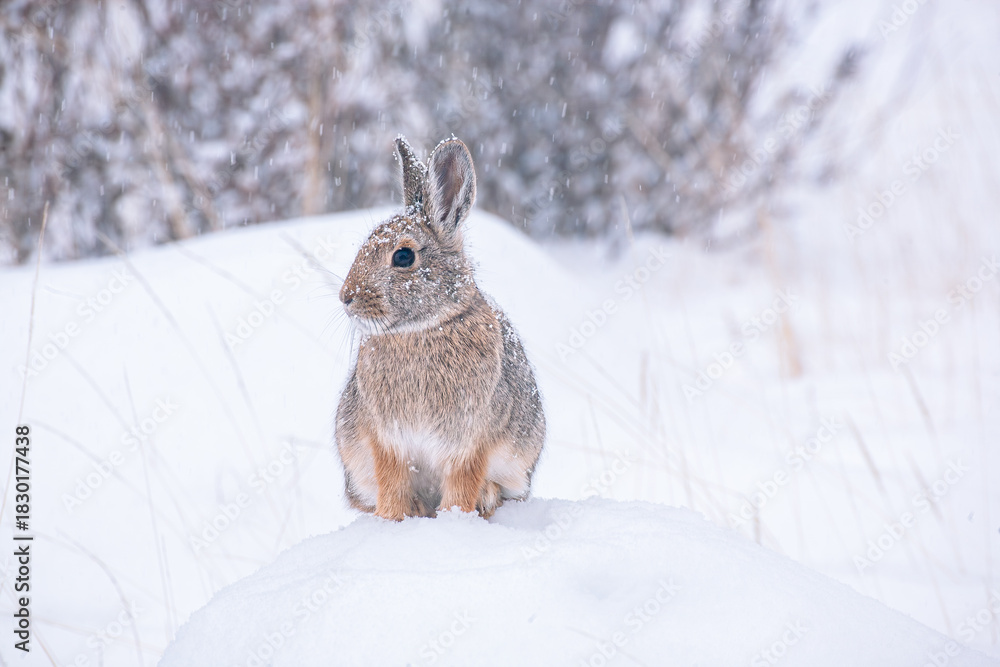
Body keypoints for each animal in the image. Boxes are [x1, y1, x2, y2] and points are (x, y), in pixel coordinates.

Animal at [335, 136, 546, 521]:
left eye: (403, 256)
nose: (347, 297)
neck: (424, 329)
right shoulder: (388, 442)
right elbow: (391, 486)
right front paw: (392, 520)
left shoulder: (469, 444)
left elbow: (461, 487)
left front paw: (455, 519)